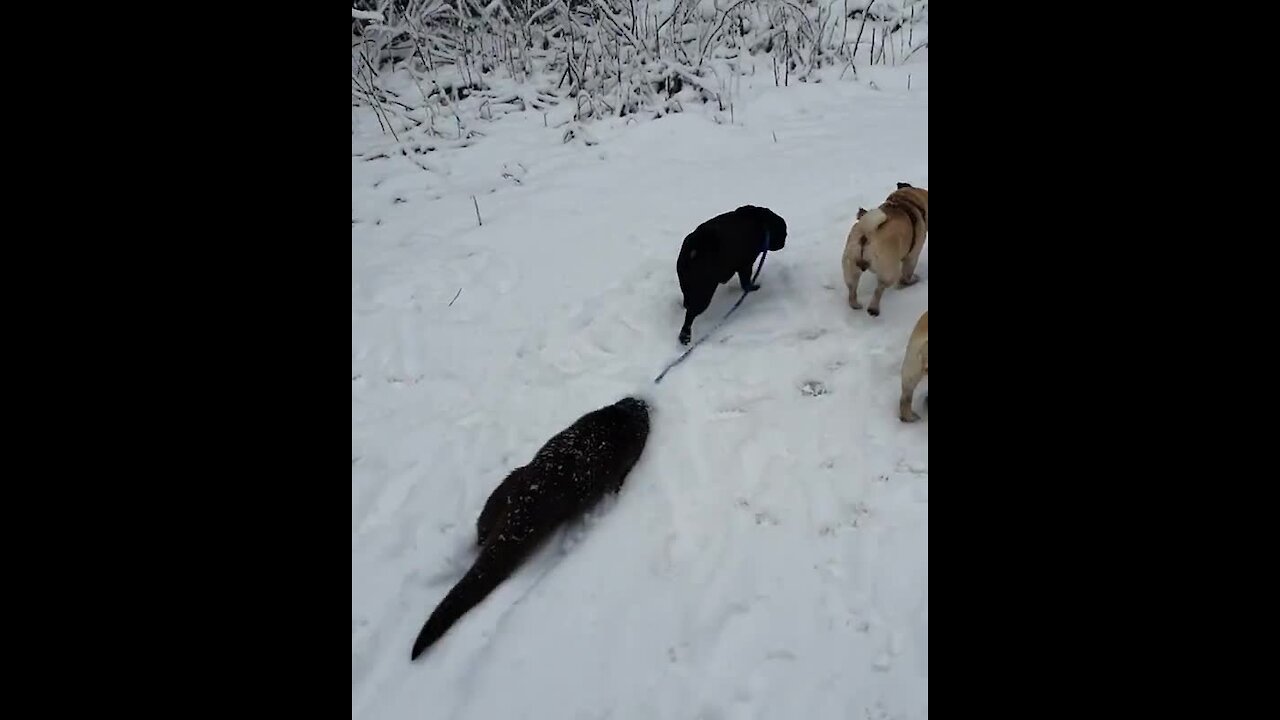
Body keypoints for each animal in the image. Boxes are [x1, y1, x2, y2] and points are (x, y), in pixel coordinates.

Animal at [675, 206, 783, 343]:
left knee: (687, 302)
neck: (763, 223)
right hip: (704, 290)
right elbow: (746, 281)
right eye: (783, 233)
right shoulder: (746, 264)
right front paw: (751, 288)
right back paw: (685, 336)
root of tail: (693, 250)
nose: (784, 242)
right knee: (690, 314)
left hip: (686, 283)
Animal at [839, 179, 931, 313]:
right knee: (879, 289)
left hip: (851, 268)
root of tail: (867, 234)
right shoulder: (912, 257)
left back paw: (855, 305)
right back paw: (873, 309)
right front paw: (910, 281)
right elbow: (906, 276)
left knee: (852, 289)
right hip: (889, 271)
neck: (906, 200)